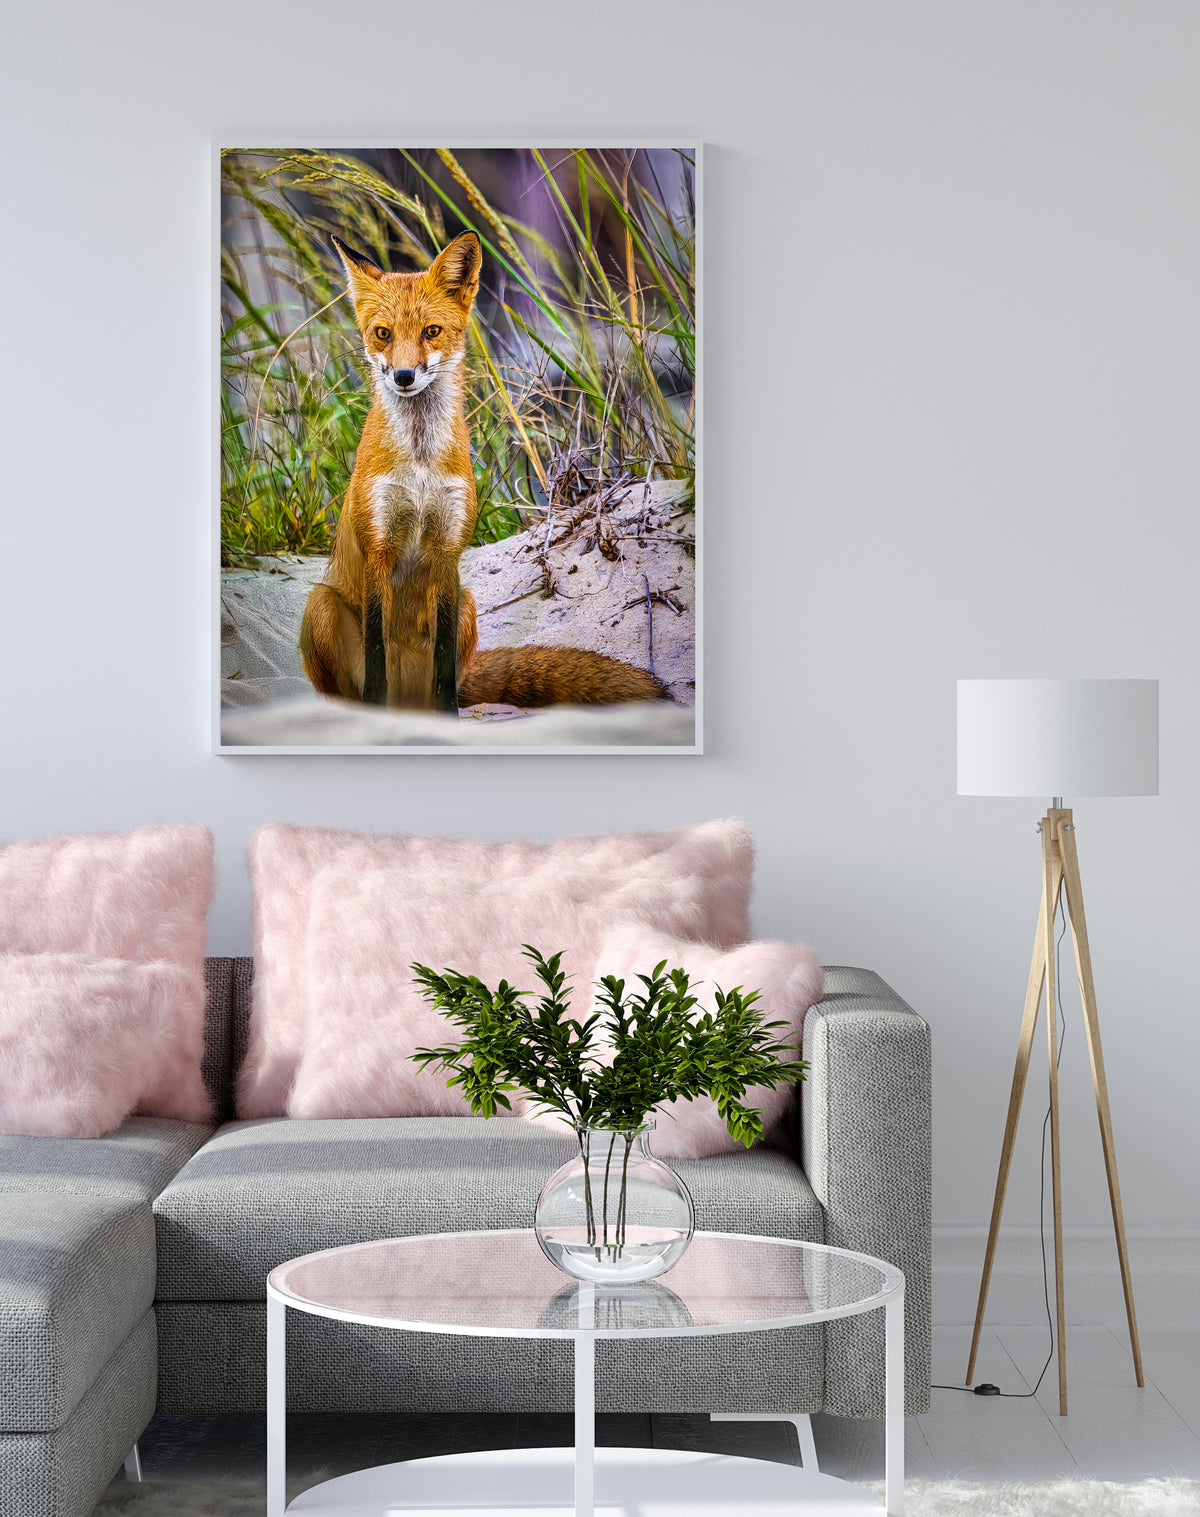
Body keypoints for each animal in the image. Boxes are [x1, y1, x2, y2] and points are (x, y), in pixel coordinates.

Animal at [299, 231, 665, 712]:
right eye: (383, 334)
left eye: (431, 331)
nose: (403, 375)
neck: (420, 463)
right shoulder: (378, 549)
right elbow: (376, 655)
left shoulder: (447, 551)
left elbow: (443, 663)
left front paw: (449, 720)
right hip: (320, 605)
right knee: (349, 687)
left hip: (467, 602)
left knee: (451, 678)